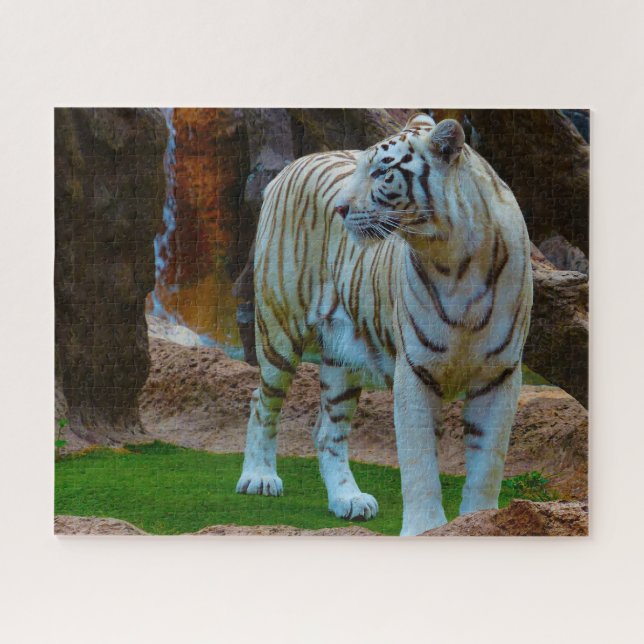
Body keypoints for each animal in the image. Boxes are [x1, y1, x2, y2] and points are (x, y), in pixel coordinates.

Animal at [235, 114, 533, 536]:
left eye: (380, 172)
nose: (340, 208)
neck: (455, 261)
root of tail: (293, 164)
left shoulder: (500, 374)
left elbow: (487, 464)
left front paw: (480, 521)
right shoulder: (415, 368)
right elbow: (419, 462)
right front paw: (426, 529)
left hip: (342, 359)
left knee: (327, 430)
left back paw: (347, 498)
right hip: (279, 329)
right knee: (261, 401)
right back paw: (258, 477)